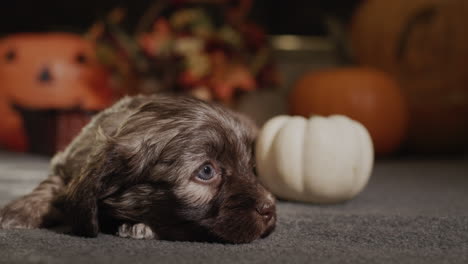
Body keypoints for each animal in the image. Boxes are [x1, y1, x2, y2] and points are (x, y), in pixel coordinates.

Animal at [0, 94, 276, 243]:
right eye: (207, 171)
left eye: (250, 167)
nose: (270, 209)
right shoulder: (67, 164)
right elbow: (49, 187)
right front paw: (16, 212)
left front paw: (140, 227)